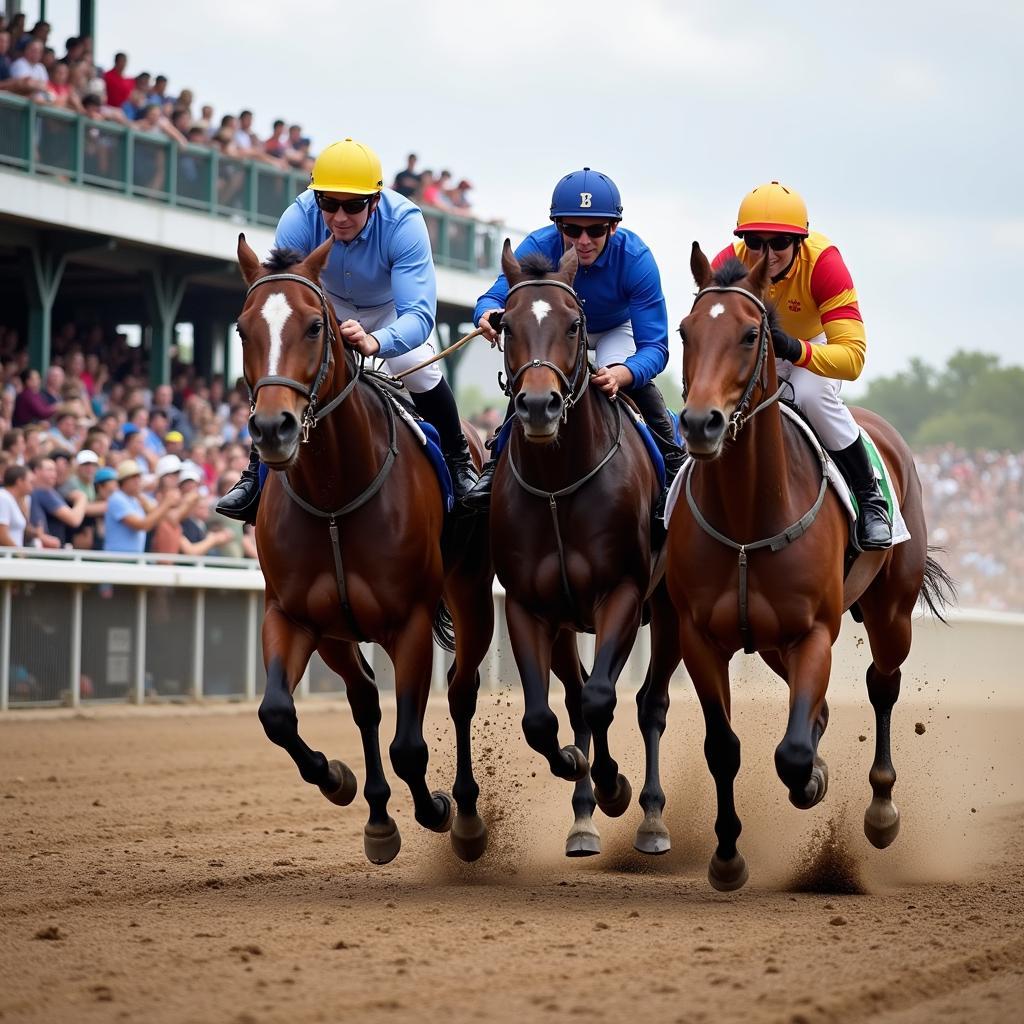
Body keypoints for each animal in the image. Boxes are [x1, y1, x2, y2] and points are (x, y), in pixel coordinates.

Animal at [239, 234, 495, 864]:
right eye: (242, 329)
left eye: (314, 327)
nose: (273, 429)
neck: (335, 494)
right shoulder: (296, 616)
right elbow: (277, 714)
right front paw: (336, 778)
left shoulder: (410, 622)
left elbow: (409, 746)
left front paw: (436, 809)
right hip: (339, 632)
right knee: (364, 702)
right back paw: (378, 817)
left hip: (472, 596)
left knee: (461, 692)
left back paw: (466, 816)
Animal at [487, 239, 679, 856]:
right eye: (506, 324)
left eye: (574, 325)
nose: (539, 406)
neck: (558, 486)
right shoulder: (530, 605)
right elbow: (544, 718)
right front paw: (576, 770)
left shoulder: (622, 593)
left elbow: (601, 699)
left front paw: (615, 786)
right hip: (569, 624)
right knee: (573, 701)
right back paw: (582, 815)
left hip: (672, 613)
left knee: (650, 704)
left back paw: (651, 817)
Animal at [667, 245, 954, 888]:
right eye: (685, 331)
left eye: (751, 334)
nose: (700, 423)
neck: (747, 521)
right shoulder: (699, 636)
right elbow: (724, 746)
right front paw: (727, 856)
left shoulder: (815, 632)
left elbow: (792, 753)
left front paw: (812, 779)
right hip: (773, 643)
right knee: (818, 706)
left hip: (891, 612)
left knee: (882, 683)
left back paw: (881, 811)